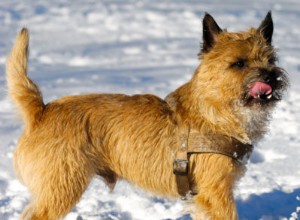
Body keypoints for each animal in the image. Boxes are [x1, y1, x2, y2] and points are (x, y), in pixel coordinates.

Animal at [6, 12, 288, 220]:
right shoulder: (216, 193)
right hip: (61, 188)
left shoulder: (204, 197)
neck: (215, 110)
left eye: (271, 60)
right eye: (239, 64)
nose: (270, 76)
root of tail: (41, 111)